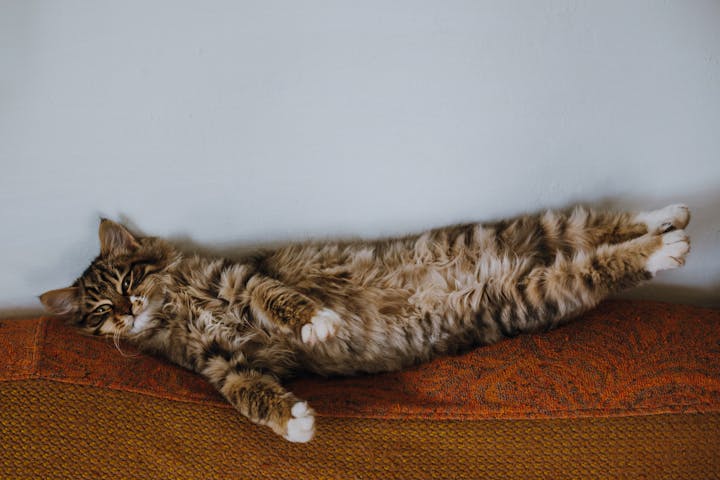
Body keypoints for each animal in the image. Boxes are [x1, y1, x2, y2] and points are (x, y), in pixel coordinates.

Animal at [40, 203, 692, 442]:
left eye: (126, 282)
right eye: (99, 312)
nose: (127, 312)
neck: (180, 306)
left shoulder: (237, 279)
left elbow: (282, 300)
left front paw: (319, 323)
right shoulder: (218, 363)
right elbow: (247, 393)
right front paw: (294, 422)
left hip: (526, 246)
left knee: (601, 232)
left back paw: (670, 230)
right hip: (528, 290)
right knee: (594, 251)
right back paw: (669, 232)